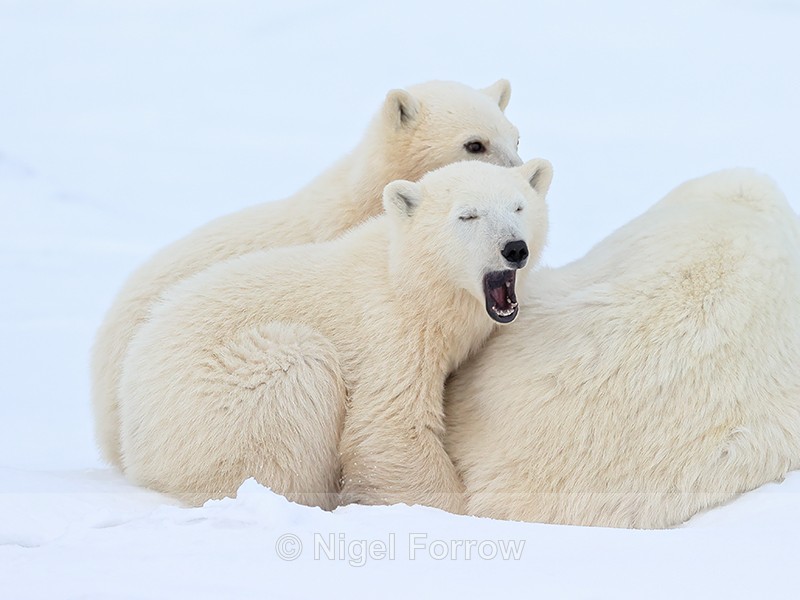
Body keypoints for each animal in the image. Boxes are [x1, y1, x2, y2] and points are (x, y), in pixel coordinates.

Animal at [117, 158, 553, 512]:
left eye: (519, 206)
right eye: (468, 216)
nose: (515, 248)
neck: (412, 281)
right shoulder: (391, 332)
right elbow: (388, 428)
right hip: (217, 403)